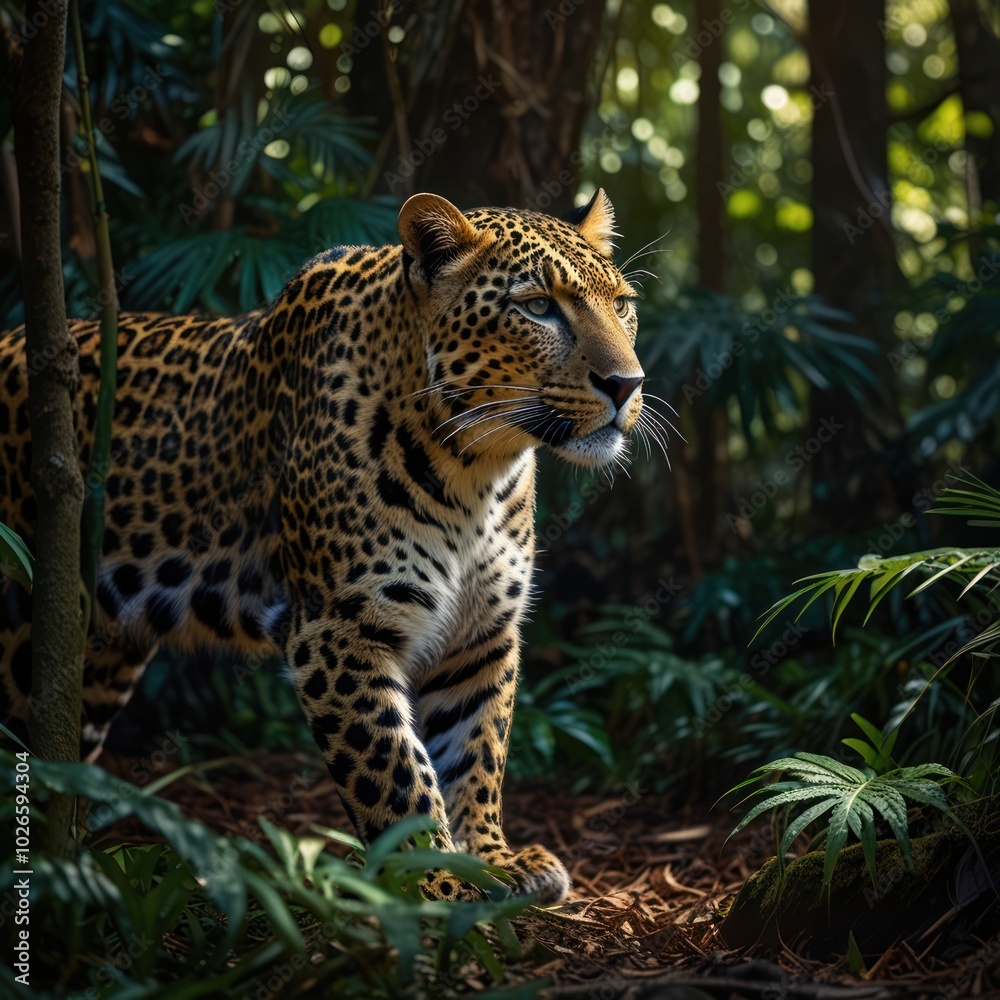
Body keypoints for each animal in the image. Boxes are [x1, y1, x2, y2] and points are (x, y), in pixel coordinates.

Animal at [0, 190, 646, 903]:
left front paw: (492, 859)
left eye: (622, 304)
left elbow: (477, 752)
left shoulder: (481, 636)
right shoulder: (339, 632)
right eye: (537, 308)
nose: (628, 384)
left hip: (99, 652)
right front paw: (435, 884)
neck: (477, 471)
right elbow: (397, 772)